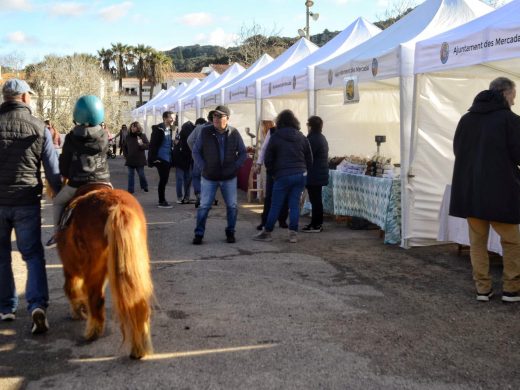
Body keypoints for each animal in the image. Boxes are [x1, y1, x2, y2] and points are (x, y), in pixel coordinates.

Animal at [58, 184, 154, 360]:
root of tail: (117, 206)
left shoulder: (70, 267)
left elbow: (72, 289)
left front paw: (77, 311)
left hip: (94, 267)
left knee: (95, 298)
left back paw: (92, 332)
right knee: (138, 302)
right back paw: (139, 348)